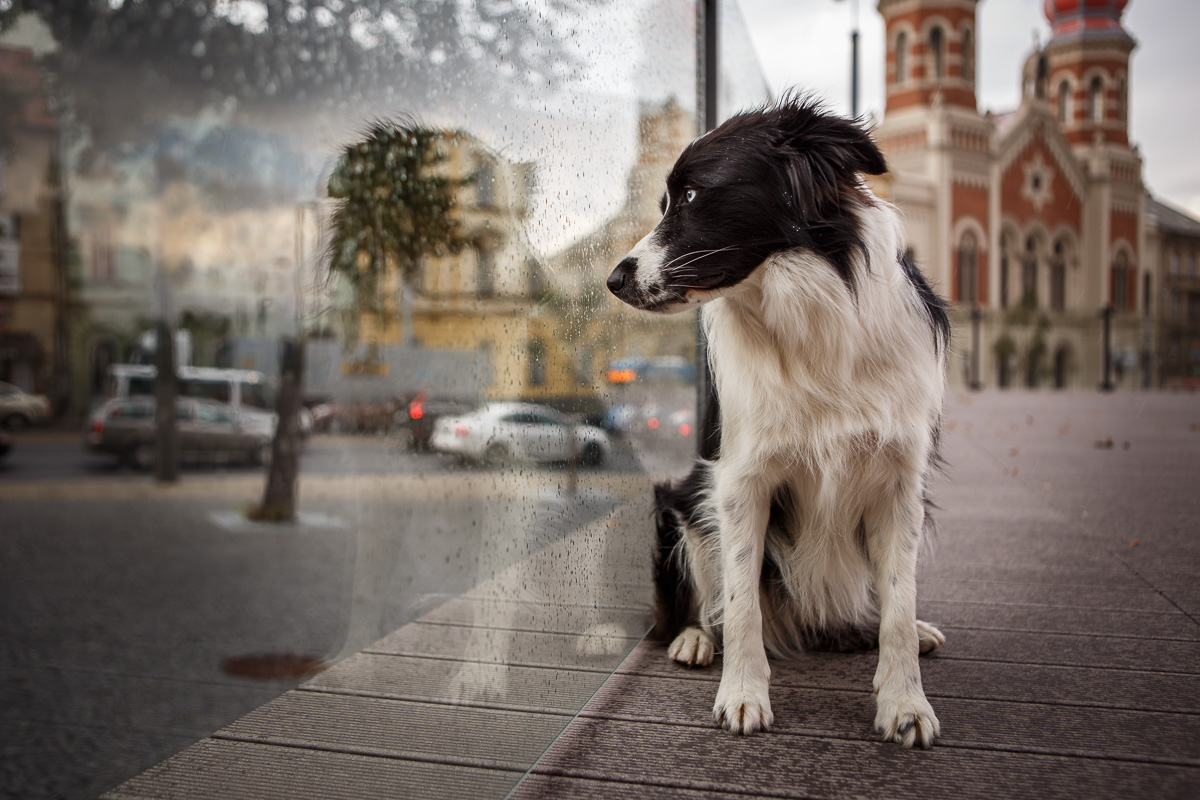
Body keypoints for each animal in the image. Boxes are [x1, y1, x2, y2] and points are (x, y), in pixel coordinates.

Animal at [604, 97, 950, 748]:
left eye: (691, 195)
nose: (613, 280)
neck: (804, 316)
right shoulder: (740, 481)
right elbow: (742, 604)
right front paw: (742, 695)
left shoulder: (899, 483)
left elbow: (899, 600)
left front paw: (905, 702)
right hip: (681, 505)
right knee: (697, 608)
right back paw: (694, 638)